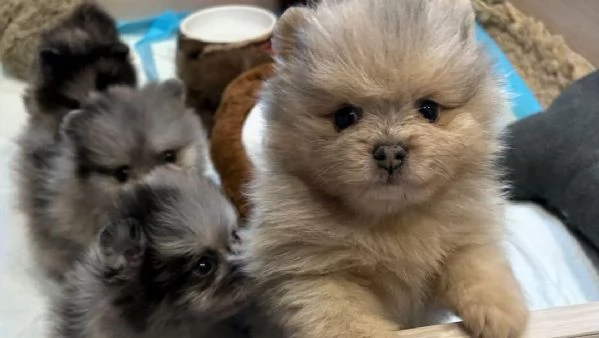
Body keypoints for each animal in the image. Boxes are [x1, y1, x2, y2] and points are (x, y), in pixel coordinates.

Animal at [244, 0, 528, 338]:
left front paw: (499, 313)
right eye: (344, 116)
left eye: (429, 109)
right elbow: (343, 317)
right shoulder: (312, 274)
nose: (390, 152)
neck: (392, 220)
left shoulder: (467, 234)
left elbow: (477, 264)